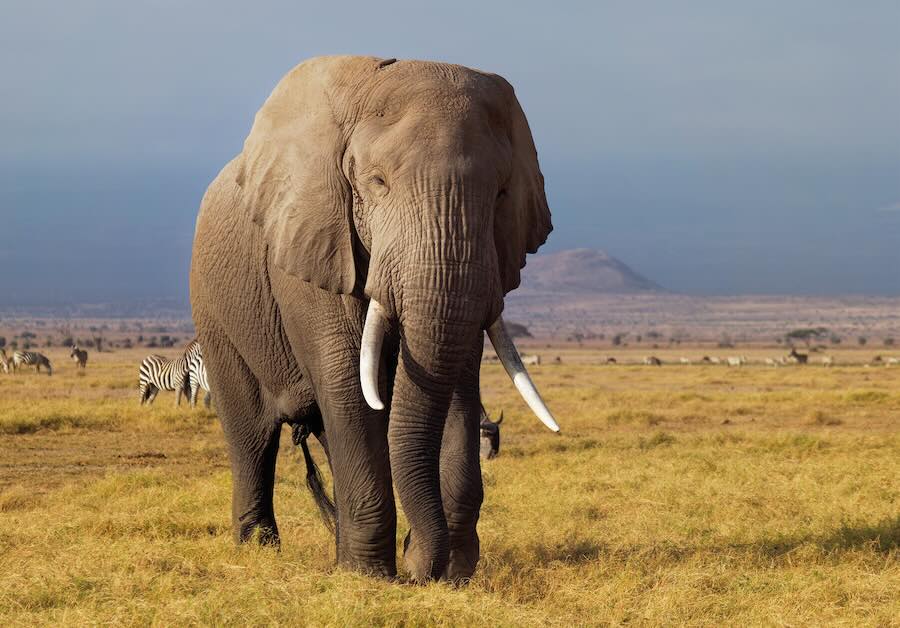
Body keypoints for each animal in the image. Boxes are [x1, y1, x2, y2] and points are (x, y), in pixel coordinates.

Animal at [190, 55, 559, 583]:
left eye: (501, 194)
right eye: (377, 183)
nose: (420, 564)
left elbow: (458, 381)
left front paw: (451, 574)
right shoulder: (314, 238)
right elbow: (349, 382)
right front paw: (370, 577)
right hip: (215, 310)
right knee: (253, 437)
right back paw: (259, 551)